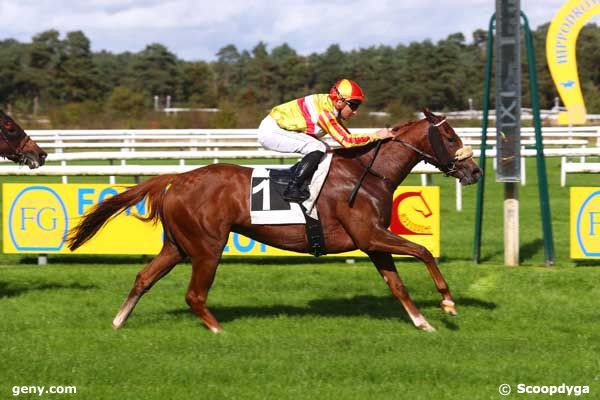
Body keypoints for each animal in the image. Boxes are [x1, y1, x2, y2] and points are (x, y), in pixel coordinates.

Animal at [68, 108, 480, 332]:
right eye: (450, 136)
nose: (474, 171)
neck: (367, 172)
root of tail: (178, 178)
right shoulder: (370, 235)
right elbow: (423, 251)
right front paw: (447, 303)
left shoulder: (373, 242)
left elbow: (397, 285)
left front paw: (422, 322)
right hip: (206, 247)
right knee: (194, 294)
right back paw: (218, 330)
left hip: (177, 245)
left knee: (144, 277)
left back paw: (119, 321)